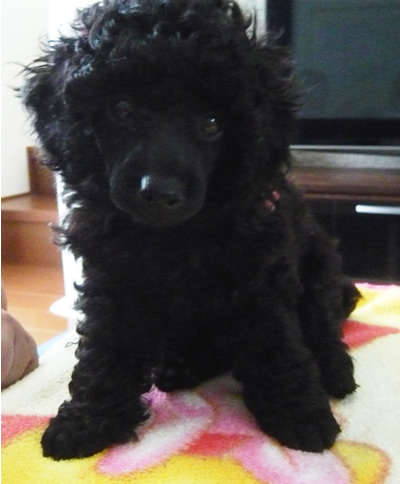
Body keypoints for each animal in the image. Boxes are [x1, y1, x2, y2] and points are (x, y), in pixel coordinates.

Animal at [22, 0, 359, 460]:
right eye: (121, 109)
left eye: (212, 123)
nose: (160, 192)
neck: (173, 236)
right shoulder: (112, 280)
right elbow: (104, 347)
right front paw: (87, 419)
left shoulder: (259, 278)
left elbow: (277, 341)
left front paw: (300, 413)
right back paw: (180, 367)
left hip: (321, 268)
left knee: (324, 326)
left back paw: (335, 372)